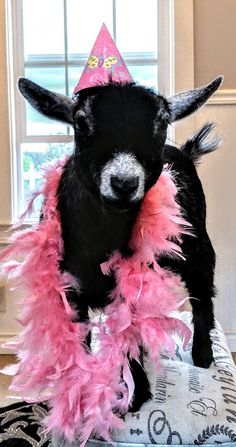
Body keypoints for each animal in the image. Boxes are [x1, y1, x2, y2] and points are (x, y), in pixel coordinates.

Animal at [18, 74, 223, 412]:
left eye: (162, 121)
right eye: (80, 121)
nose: (124, 183)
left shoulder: (133, 283)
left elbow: (128, 336)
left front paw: (135, 394)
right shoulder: (69, 290)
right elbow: (80, 341)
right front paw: (80, 389)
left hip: (198, 246)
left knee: (202, 295)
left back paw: (203, 355)